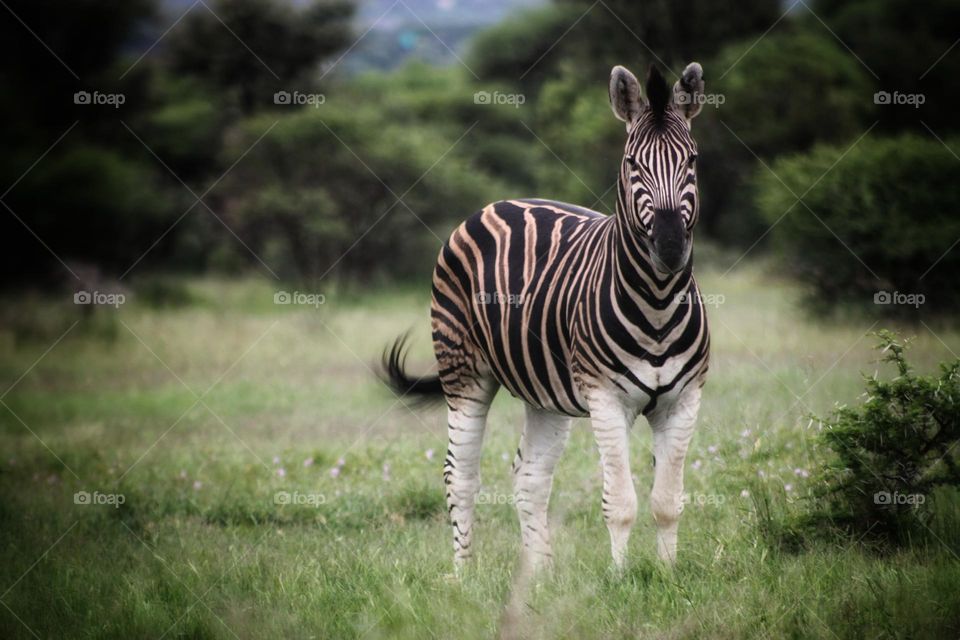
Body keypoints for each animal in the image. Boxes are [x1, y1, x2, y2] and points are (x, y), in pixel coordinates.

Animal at [382, 62, 712, 572]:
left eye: (692, 160)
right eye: (632, 164)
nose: (671, 246)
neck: (657, 302)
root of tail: (499, 203)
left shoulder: (684, 400)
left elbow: (667, 501)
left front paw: (668, 576)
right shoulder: (605, 398)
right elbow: (620, 502)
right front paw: (621, 579)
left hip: (545, 393)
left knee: (529, 475)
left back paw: (539, 575)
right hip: (464, 373)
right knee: (460, 475)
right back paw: (463, 576)